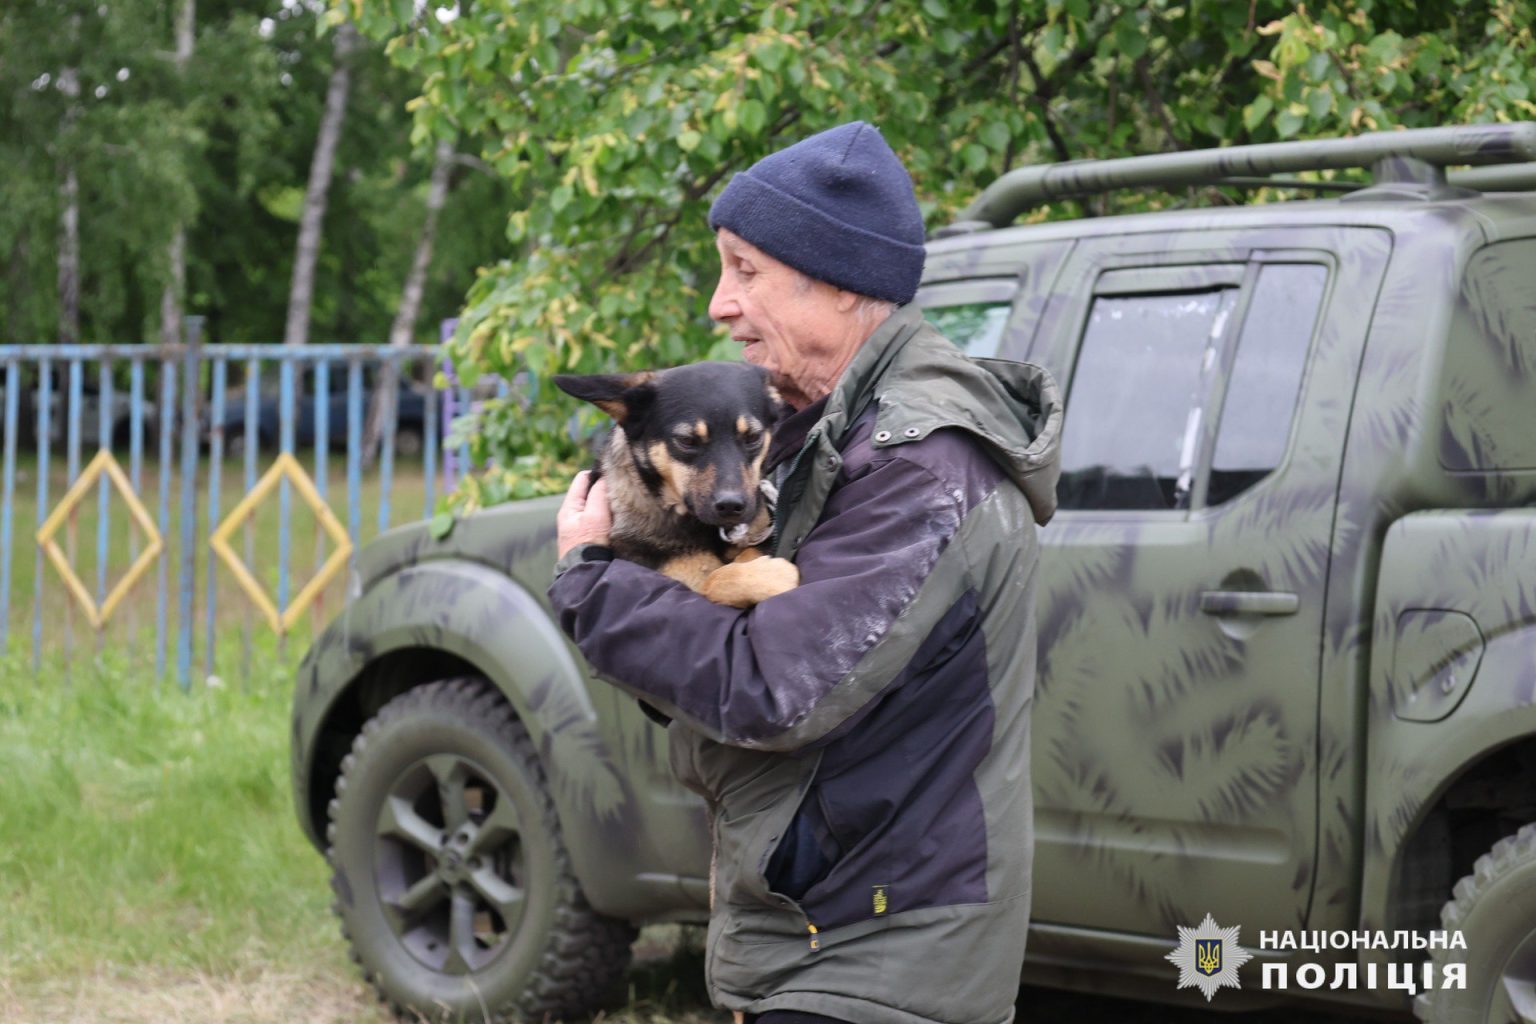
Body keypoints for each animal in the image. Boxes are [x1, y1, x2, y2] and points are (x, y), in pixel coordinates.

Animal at [556, 362, 798, 607]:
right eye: (687, 440)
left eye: (752, 437)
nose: (731, 506)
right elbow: (712, 581)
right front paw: (770, 576)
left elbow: (742, 557)